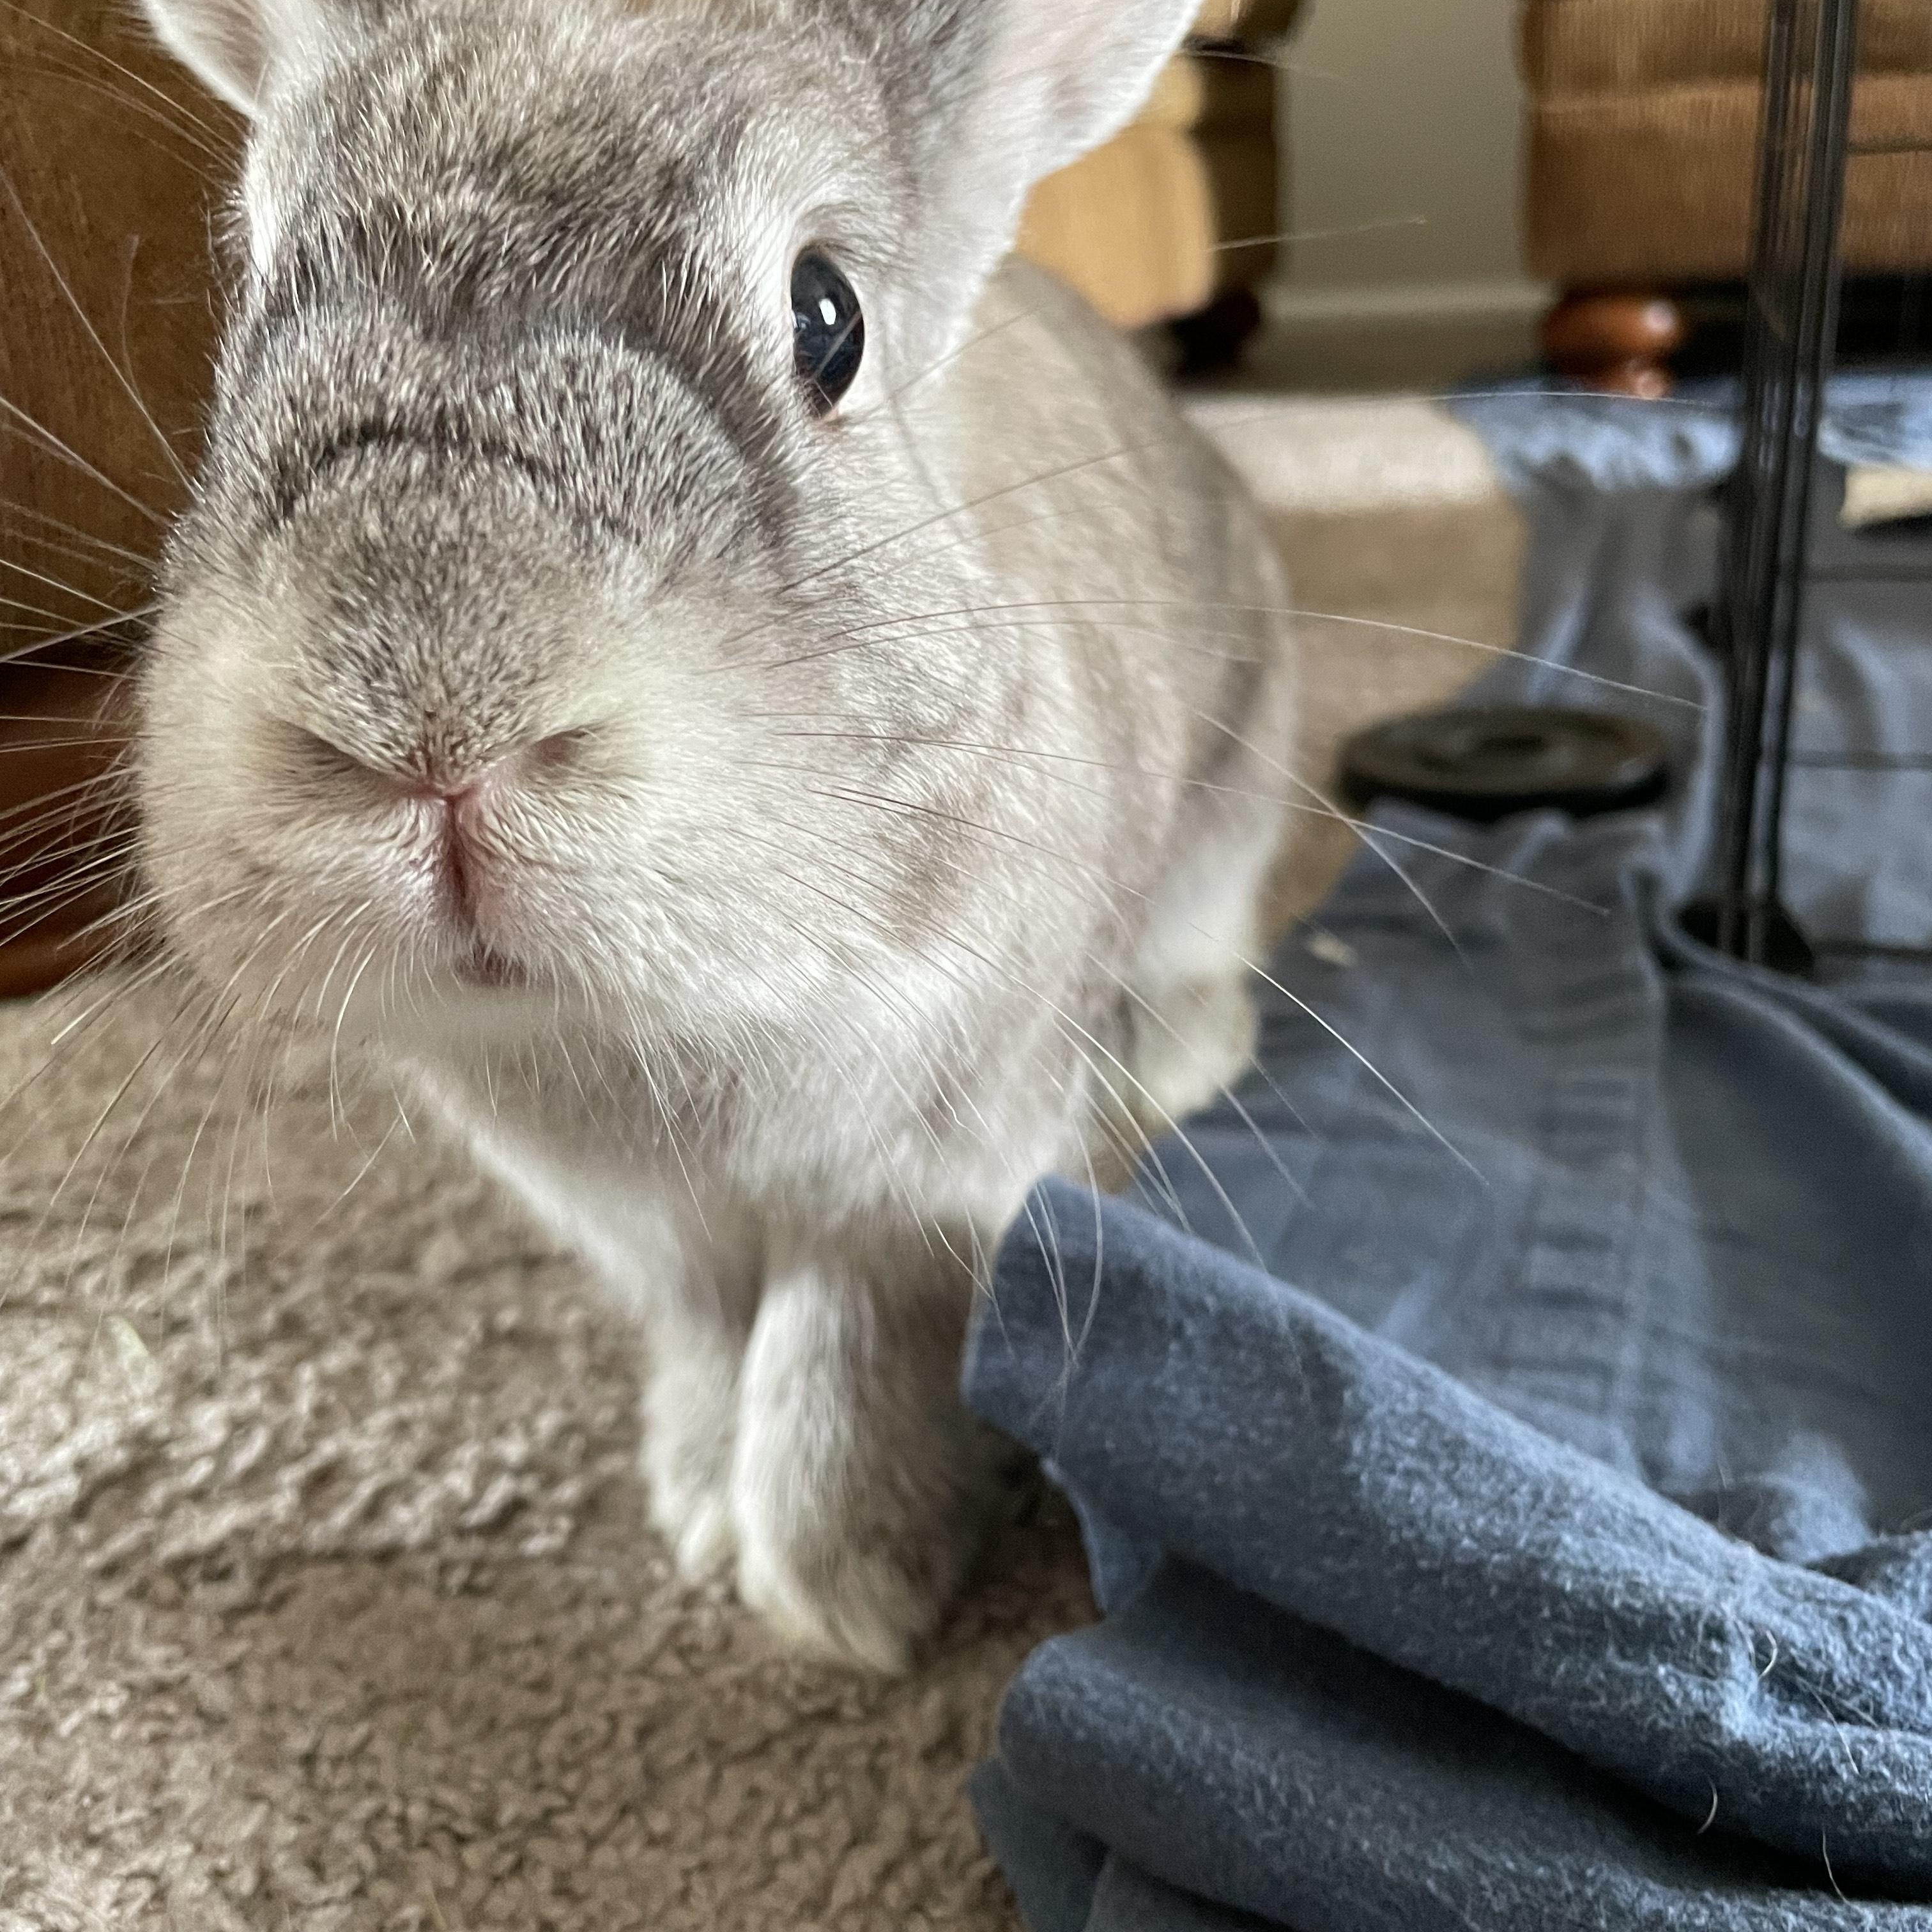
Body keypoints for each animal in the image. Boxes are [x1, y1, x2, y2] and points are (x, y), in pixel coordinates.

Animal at [131, 0, 1298, 1672]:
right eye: (253, 292)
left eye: (830, 321)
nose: (430, 727)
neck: (657, 1022)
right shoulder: (643, 1229)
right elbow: (706, 1334)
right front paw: (694, 1506)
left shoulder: (921, 1186)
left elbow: (839, 1348)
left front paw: (839, 1593)